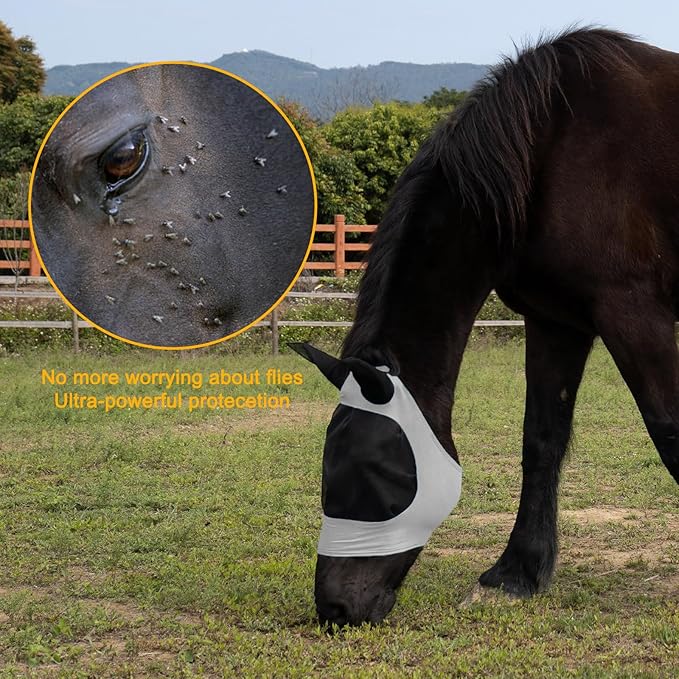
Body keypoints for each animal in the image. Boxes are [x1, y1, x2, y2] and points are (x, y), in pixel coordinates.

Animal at [294, 28, 679, 628]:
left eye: (385, 474)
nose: (335, 607)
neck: (552, 148)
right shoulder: (555, 321)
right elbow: (541, 439)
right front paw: (517, 572)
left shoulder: (635, 314)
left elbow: (670, 432)